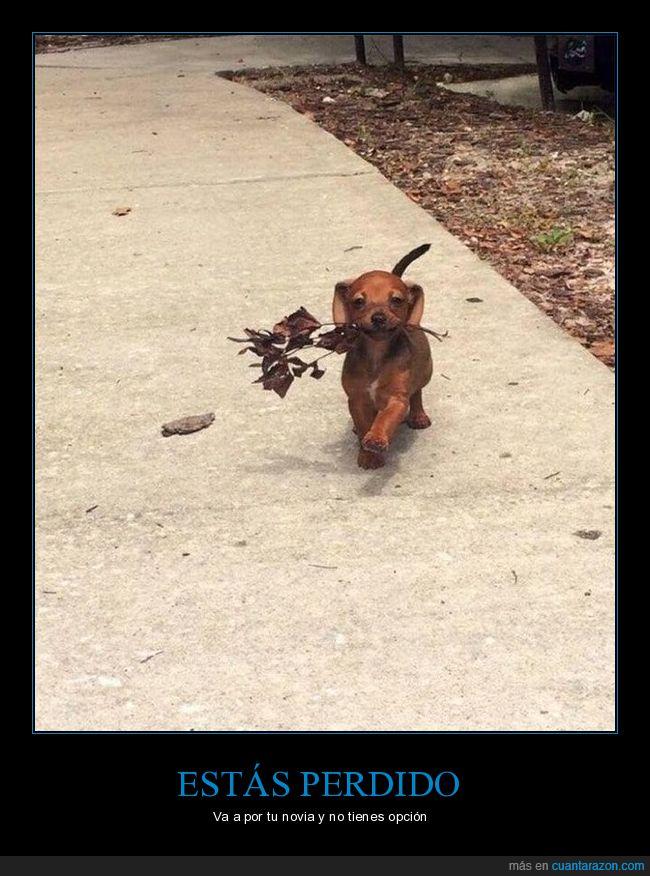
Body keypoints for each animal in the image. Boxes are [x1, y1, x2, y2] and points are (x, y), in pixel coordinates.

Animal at [332, 244, 433, 469]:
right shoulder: (357, 398)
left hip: (425, 373)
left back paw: (418, 416)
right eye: (358, 302)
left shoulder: (396, 400)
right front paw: (368, 454)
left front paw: (376, 439)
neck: (377, 353)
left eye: (396, 300)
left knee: (417, 393)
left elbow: (384, 419)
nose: (378, 317)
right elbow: (363, 424)